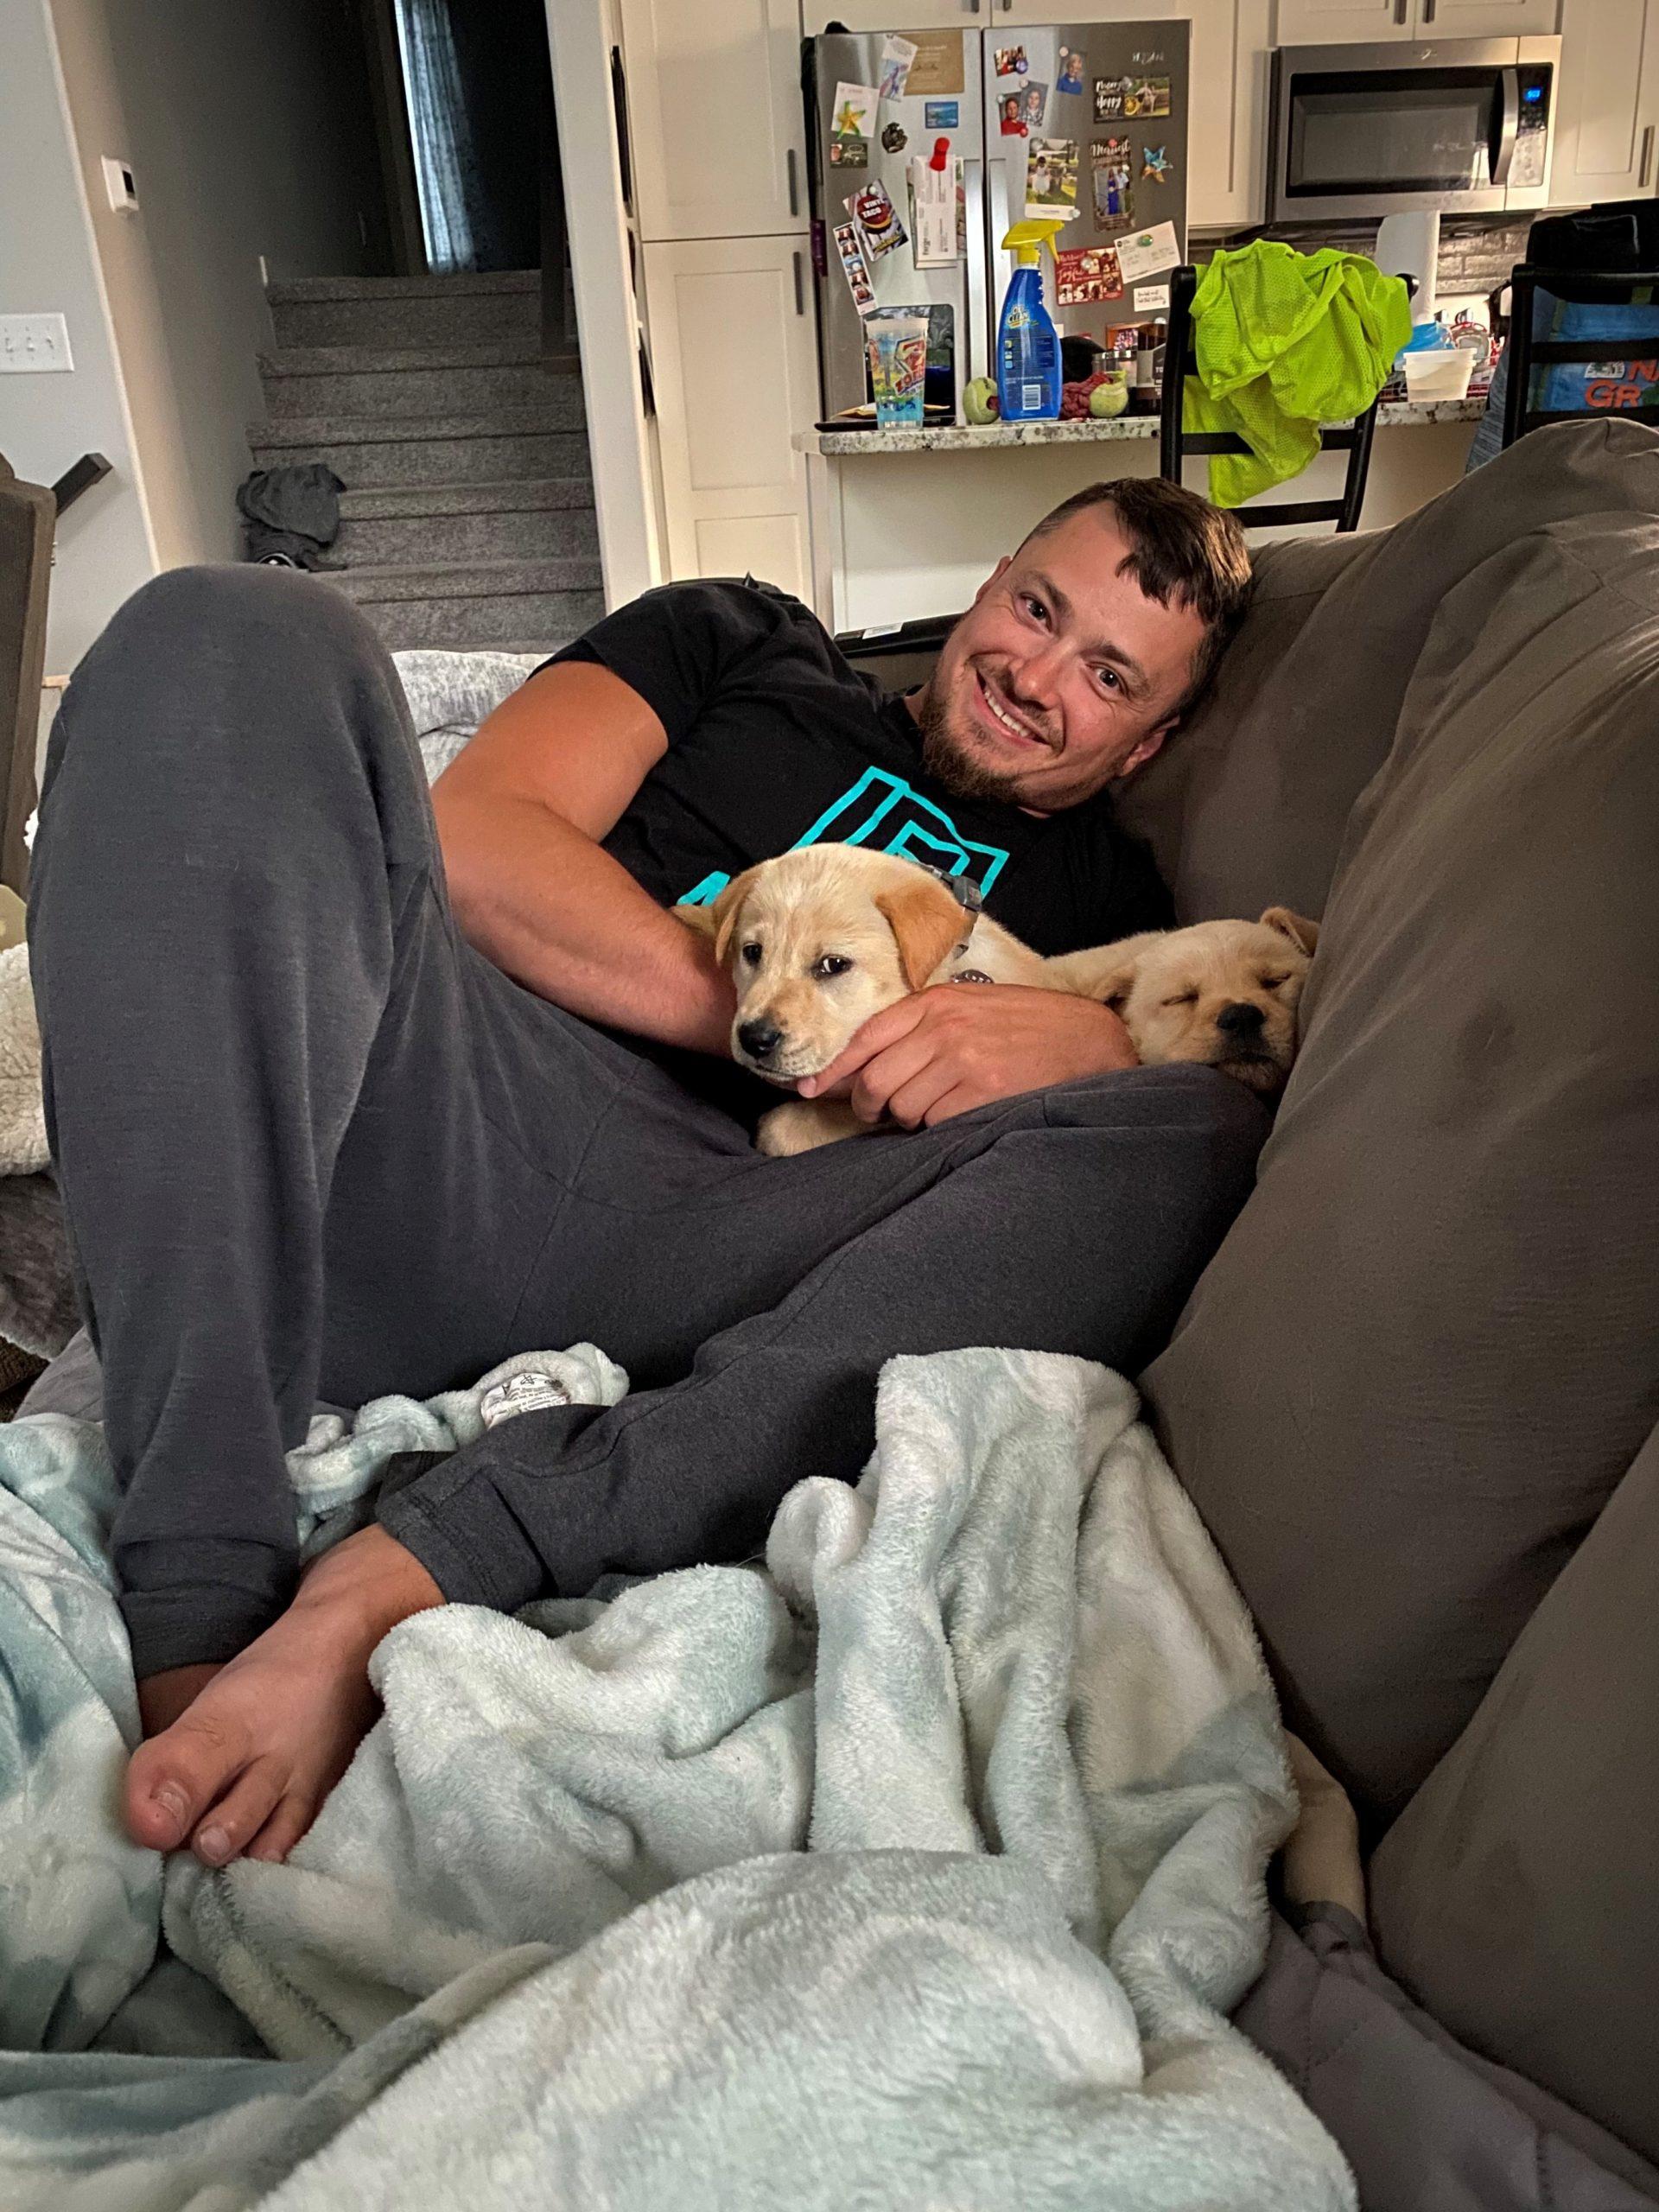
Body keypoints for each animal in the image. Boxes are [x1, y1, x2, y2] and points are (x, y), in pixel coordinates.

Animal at [677, 840, 1327, 1159]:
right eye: (752, 954)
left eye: (833, 966)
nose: (755, 1038)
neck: (952, 971)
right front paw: (690, 914)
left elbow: (810, 1122)